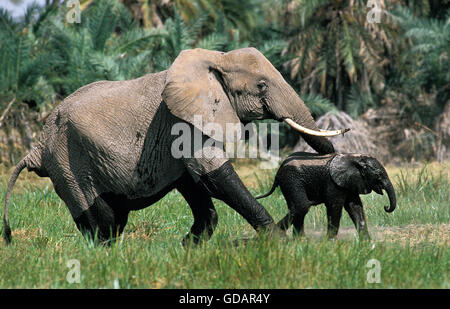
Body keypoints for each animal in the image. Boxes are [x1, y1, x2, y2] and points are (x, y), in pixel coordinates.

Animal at [3, 47, 346, 243]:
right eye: (261, 86)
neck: (215, 61)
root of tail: (37, 148)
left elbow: (197, 184)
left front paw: (187, 248)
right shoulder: (179, 121)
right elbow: (214, 174)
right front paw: (278, 243)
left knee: (114, 218)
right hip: (68, 163)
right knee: (99, 218)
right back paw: (103, 254)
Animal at [255, 153, 396, 239]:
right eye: (378, 176)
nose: (386, 206)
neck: (354, 158)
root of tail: (278, 172)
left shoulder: (349, 181)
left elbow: (355, 207)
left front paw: (367, 242)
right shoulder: (333, 183)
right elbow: (335, 207)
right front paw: (330, 242)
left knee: (296, 208)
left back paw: (299, 240)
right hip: (292, 180)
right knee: (301, 206)